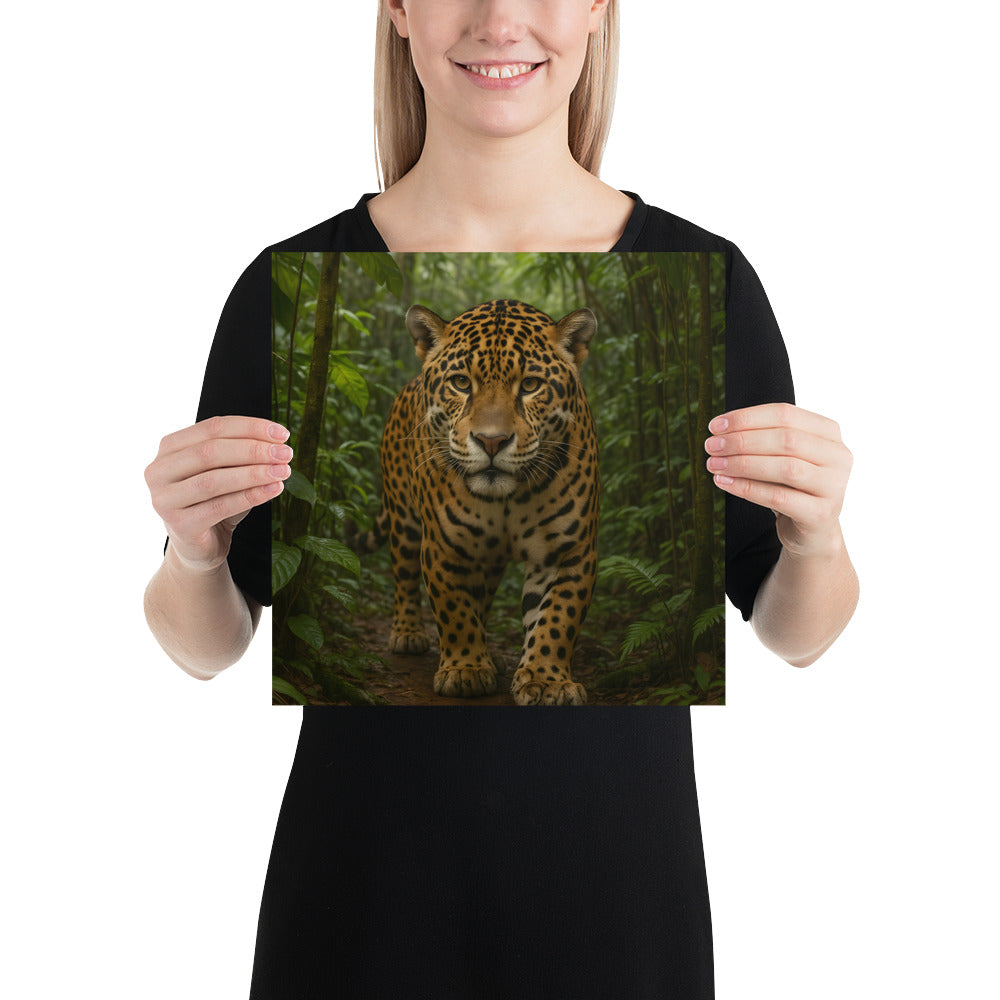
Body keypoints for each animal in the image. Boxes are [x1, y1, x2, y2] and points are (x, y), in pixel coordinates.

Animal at [351, 299, 600, 706]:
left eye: (530, 385)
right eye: (461, 383)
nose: (492, 441)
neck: (508, 498)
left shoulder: (568, 551)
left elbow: (556, 618)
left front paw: (547, 680)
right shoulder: (443, 546)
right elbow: (454, 611)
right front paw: (465, 669)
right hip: (403, 519)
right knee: (403, 575)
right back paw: (408, 633)